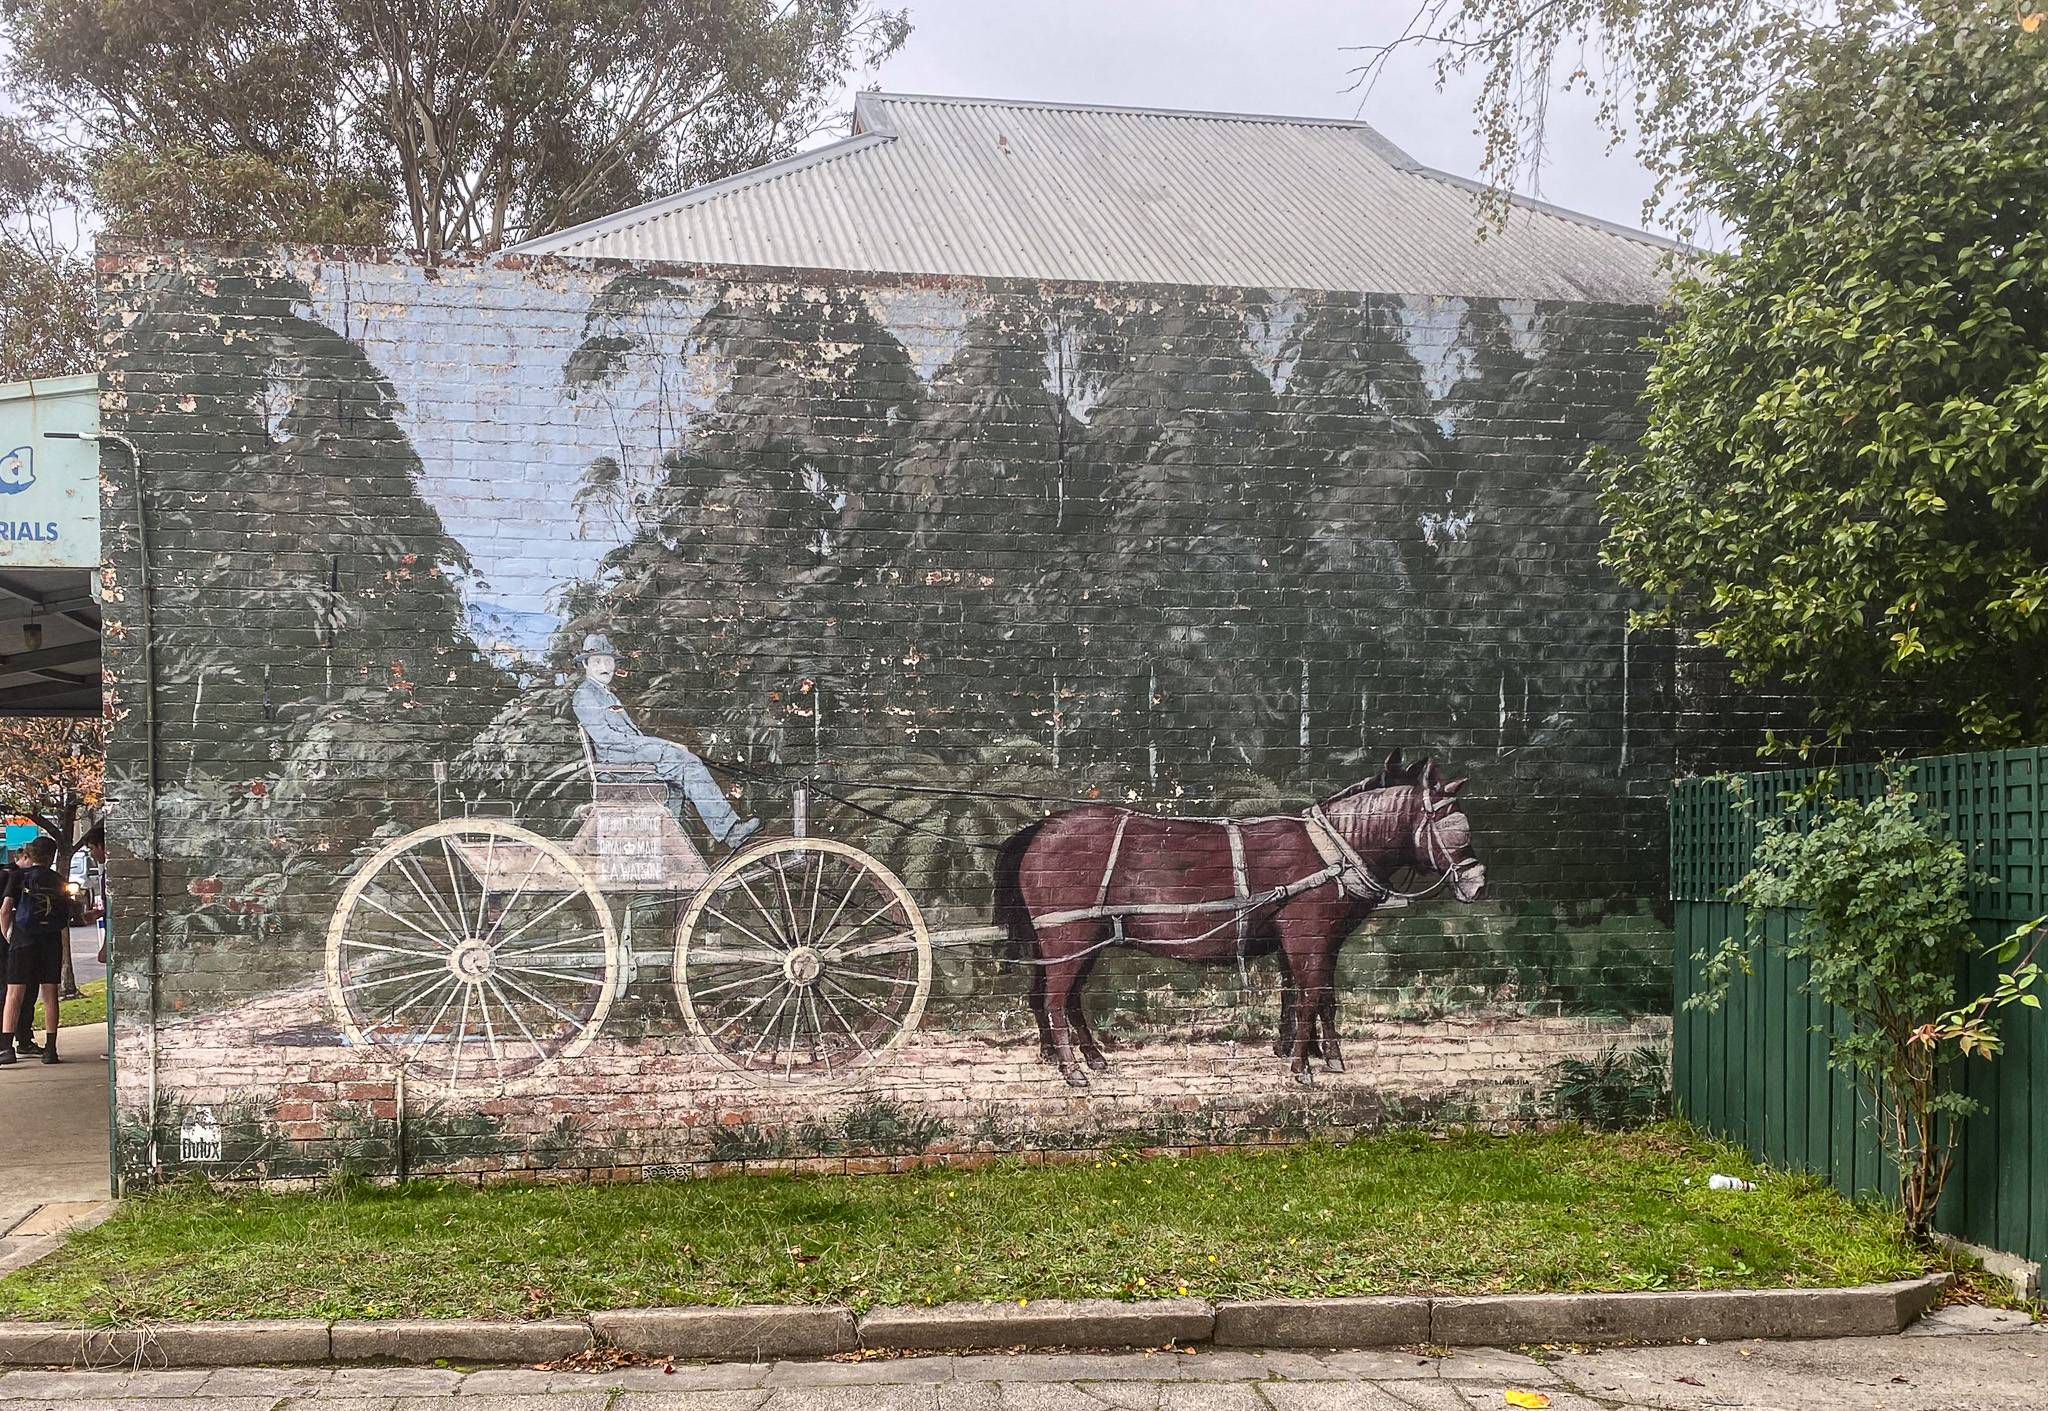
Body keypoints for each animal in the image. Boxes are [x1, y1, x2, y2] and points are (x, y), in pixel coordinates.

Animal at [991, 753, 1490, 1081]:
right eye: (1451, 828)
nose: (1478, 883)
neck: (1333, 850)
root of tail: (1042, 828)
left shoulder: (1310, 940)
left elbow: (1313, 997)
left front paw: (1318, 1055)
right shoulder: (1308, 935)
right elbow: (1311, 997)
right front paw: (1301, 1068)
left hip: (1080, 939)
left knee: (1060, 998)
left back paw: (1087, 1059)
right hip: (1069, 937)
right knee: (1055, 1000)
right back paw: (1073, 1071)